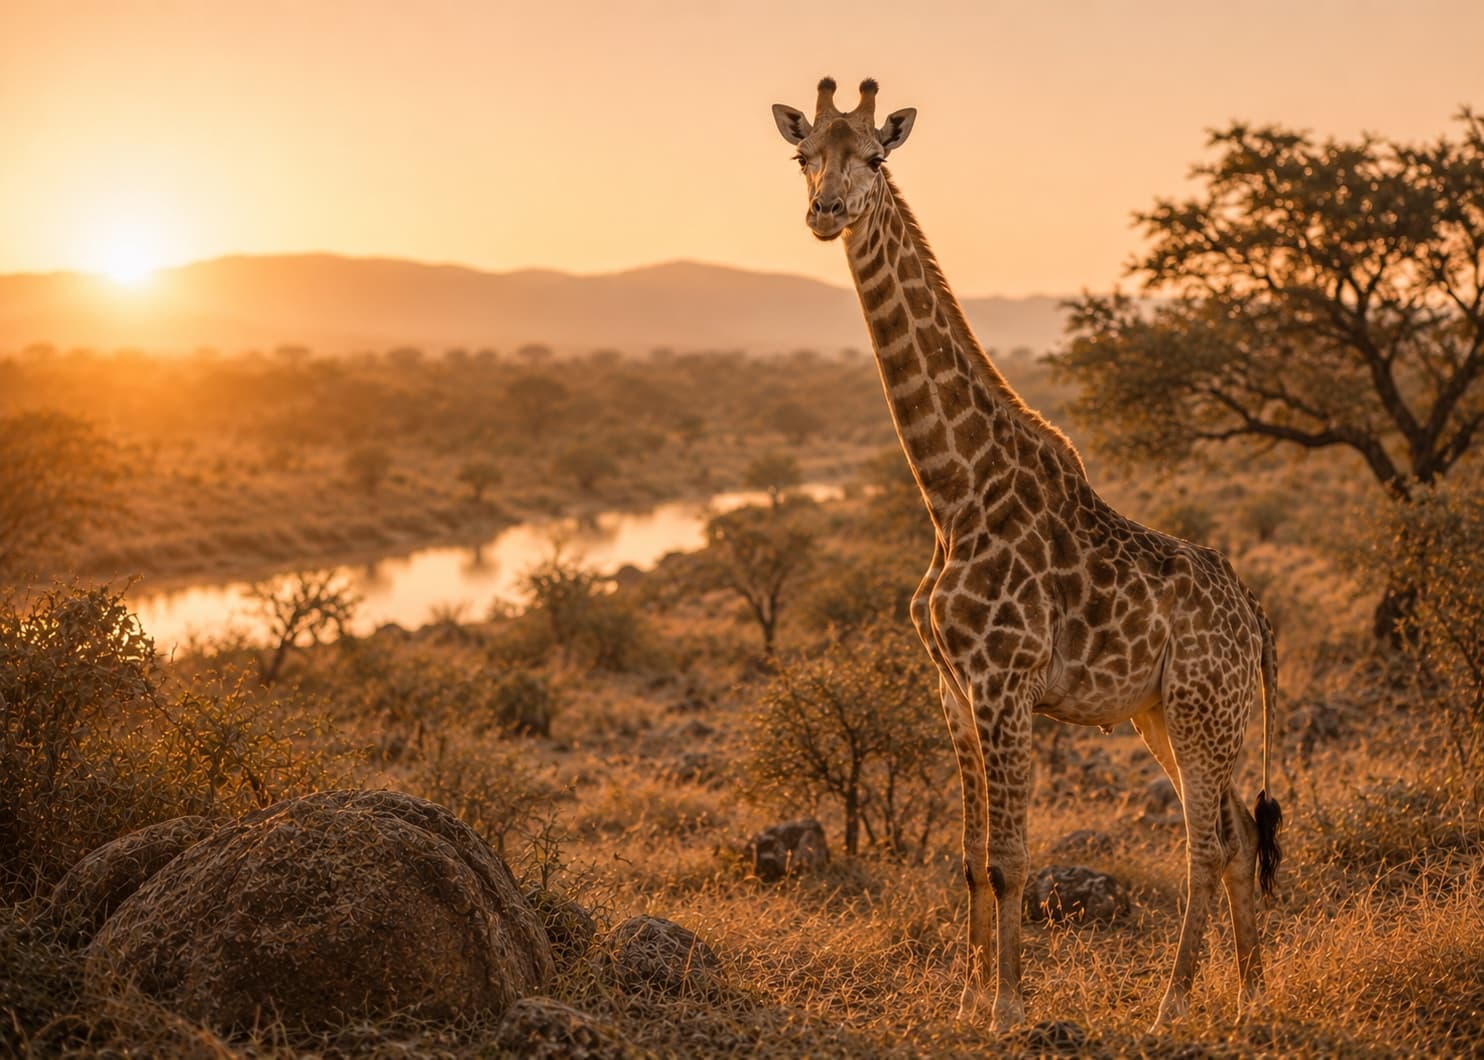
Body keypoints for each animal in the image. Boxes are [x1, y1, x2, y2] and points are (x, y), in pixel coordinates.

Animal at [771, 77, 1282, 1033]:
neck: (952, 490)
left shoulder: (1005, 682)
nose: (825, 212)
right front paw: (967, 999)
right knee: (1237, 839)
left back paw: (1172, 1007)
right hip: (1169, 717)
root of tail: (1258, 622)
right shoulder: (952, 687)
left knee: (1205, 845)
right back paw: (1249, 1001)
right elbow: (972, 857)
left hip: (1203, 712)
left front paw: (1008, 1006)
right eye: (802, 154)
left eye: (876, 157)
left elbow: (1011, 857)